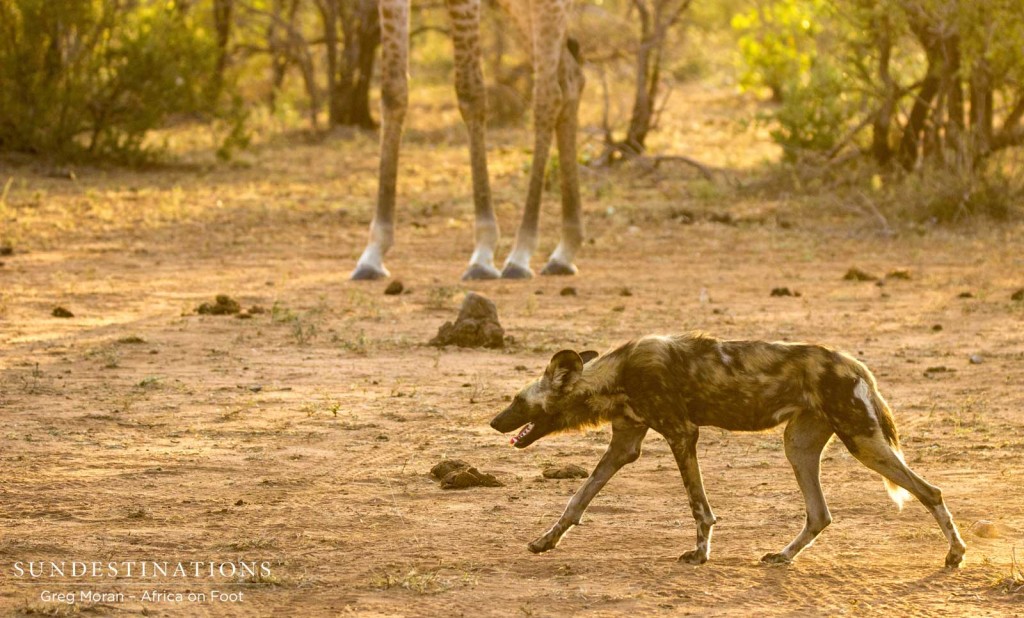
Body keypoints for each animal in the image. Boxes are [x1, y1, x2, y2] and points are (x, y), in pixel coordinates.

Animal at [491, 335, 962, 568]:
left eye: (516, 401)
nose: (495, 422)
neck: (616, 375)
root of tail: (856, 364)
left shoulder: (682, 434)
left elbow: (699, 507)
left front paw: (700, 554)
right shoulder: (624, 444)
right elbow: (577, 500)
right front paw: (546, 541)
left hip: (862, 441)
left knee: (931, 491)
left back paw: (955, 555)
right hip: (798, 447)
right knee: (820, 514)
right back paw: (782, 556)